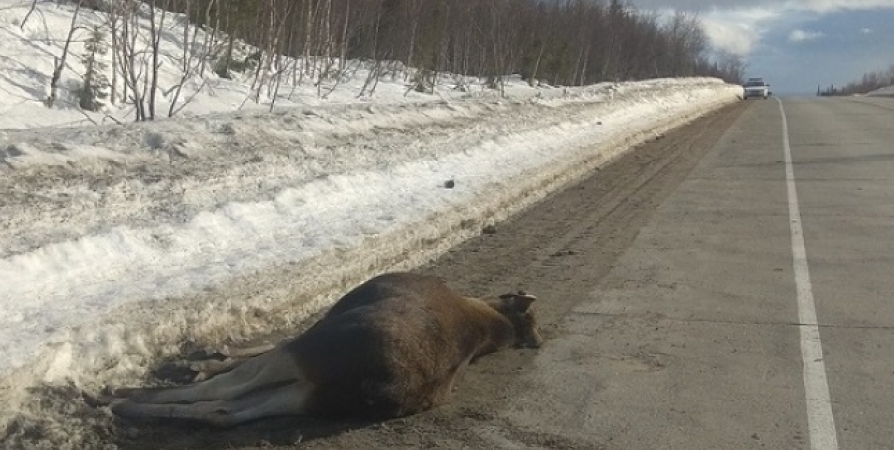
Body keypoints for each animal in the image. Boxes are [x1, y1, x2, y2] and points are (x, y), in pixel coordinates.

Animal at [112, 270, 544, 426]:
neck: (490, 323)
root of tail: (382, 386)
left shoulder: (318, 329)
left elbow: (258, 349)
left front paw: (204, 358)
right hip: (315, 395)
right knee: (226, 413)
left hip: (308, 358)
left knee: (224, 392)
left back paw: (127, 397)